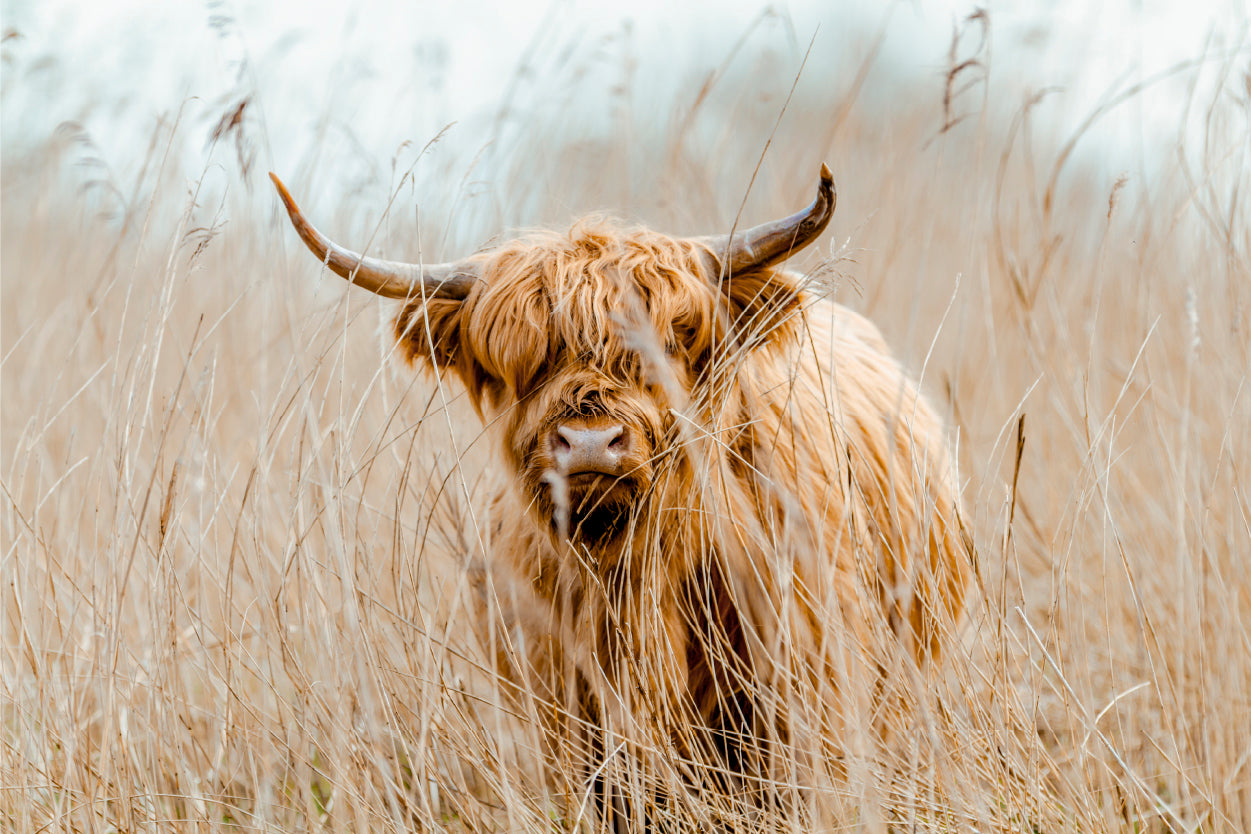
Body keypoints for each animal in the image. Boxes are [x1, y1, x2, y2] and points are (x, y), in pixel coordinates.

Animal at [271, 166, 972, 827]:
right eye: (523, 361)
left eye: (669, 343)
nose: (587, 443)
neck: (636, 576)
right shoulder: (572, 719)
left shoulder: (808, 692)